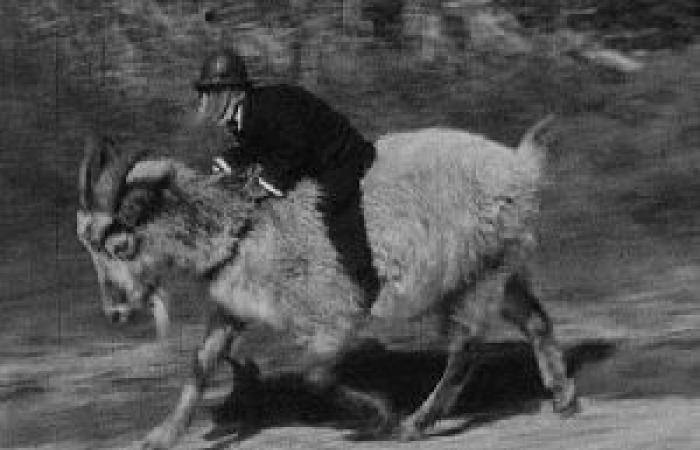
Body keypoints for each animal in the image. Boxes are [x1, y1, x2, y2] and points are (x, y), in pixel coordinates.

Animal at [76, 118, 576, 448]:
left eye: (120, 245)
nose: (115, 312)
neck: (240, 227)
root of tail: (522, 167)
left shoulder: (335, 309)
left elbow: (314, 375)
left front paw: (379, 415)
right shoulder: (231, 307)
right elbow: (199, 367)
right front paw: (161, 435)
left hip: (476, 273)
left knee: (466, 346)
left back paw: (417, 422)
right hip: (500, 266)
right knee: (535, 320)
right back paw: (563, 397)